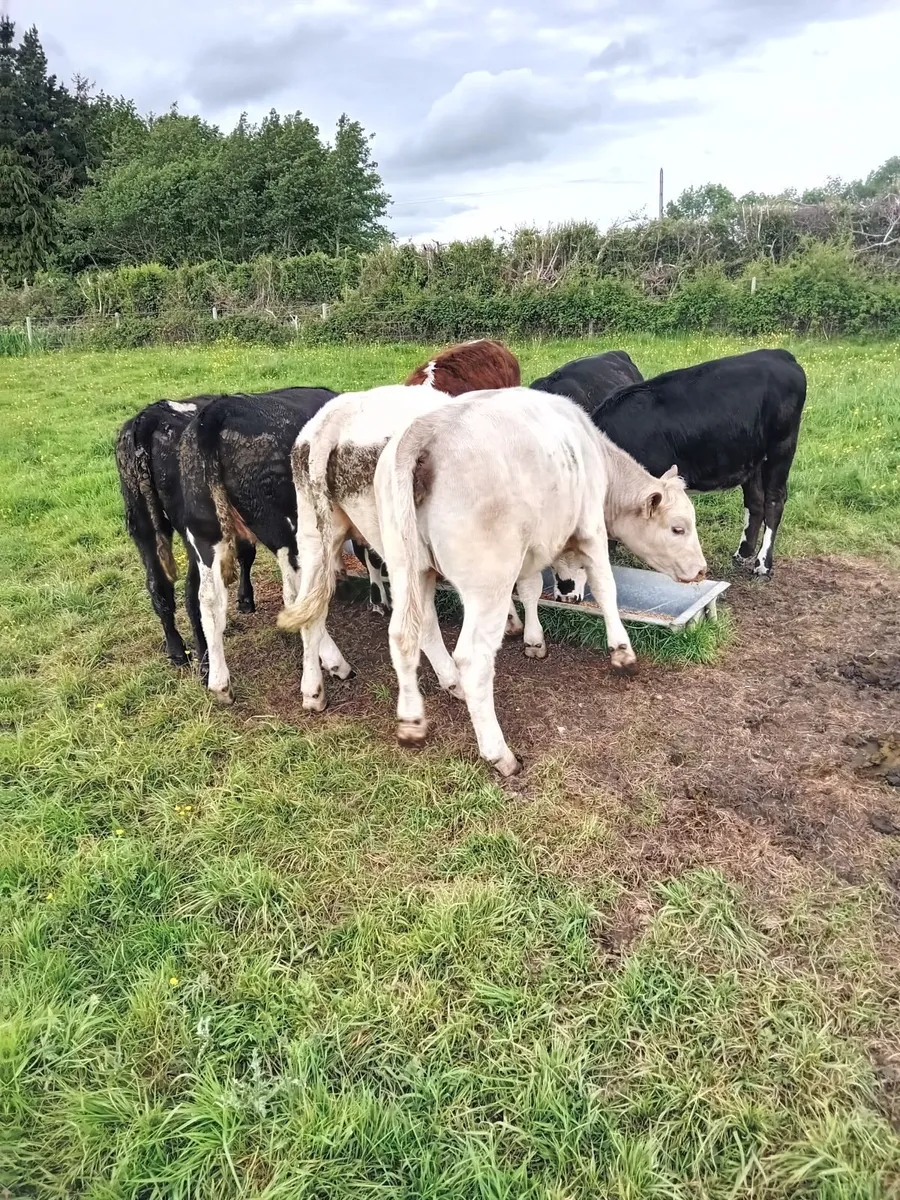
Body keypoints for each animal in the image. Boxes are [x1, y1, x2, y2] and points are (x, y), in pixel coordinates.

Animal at [116, 396, 260, 669]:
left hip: (141, 524)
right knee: (194, 594)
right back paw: (205, 659)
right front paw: (246, 599)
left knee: (158, 586)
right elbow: (247, 554)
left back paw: (176, 651)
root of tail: (149, 417)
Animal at [177, 386, 345, 704]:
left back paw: (220, 684)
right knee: (296, 595)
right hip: (286, 529)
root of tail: (218, 411)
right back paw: (329, 668)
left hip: (204, 531)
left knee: (209, 600)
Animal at [373, 388, 707, 776]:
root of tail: (426, 430)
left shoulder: (532, 547)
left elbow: (531, 589)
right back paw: (499, 753)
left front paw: (534, 640)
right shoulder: (591, 528)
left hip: (408, 568)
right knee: (473, 659)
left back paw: (415, 719)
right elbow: (605, 587)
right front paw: (622, 652)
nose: (701, 570)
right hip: (486, 582)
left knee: (408, 634)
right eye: (678, 528)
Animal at [588, 349, 807, 579]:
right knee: (755, 500)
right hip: (751, 458)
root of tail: (778, 354)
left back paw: (763, 564)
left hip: (781, 448)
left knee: (774, 500)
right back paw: (742, 554)